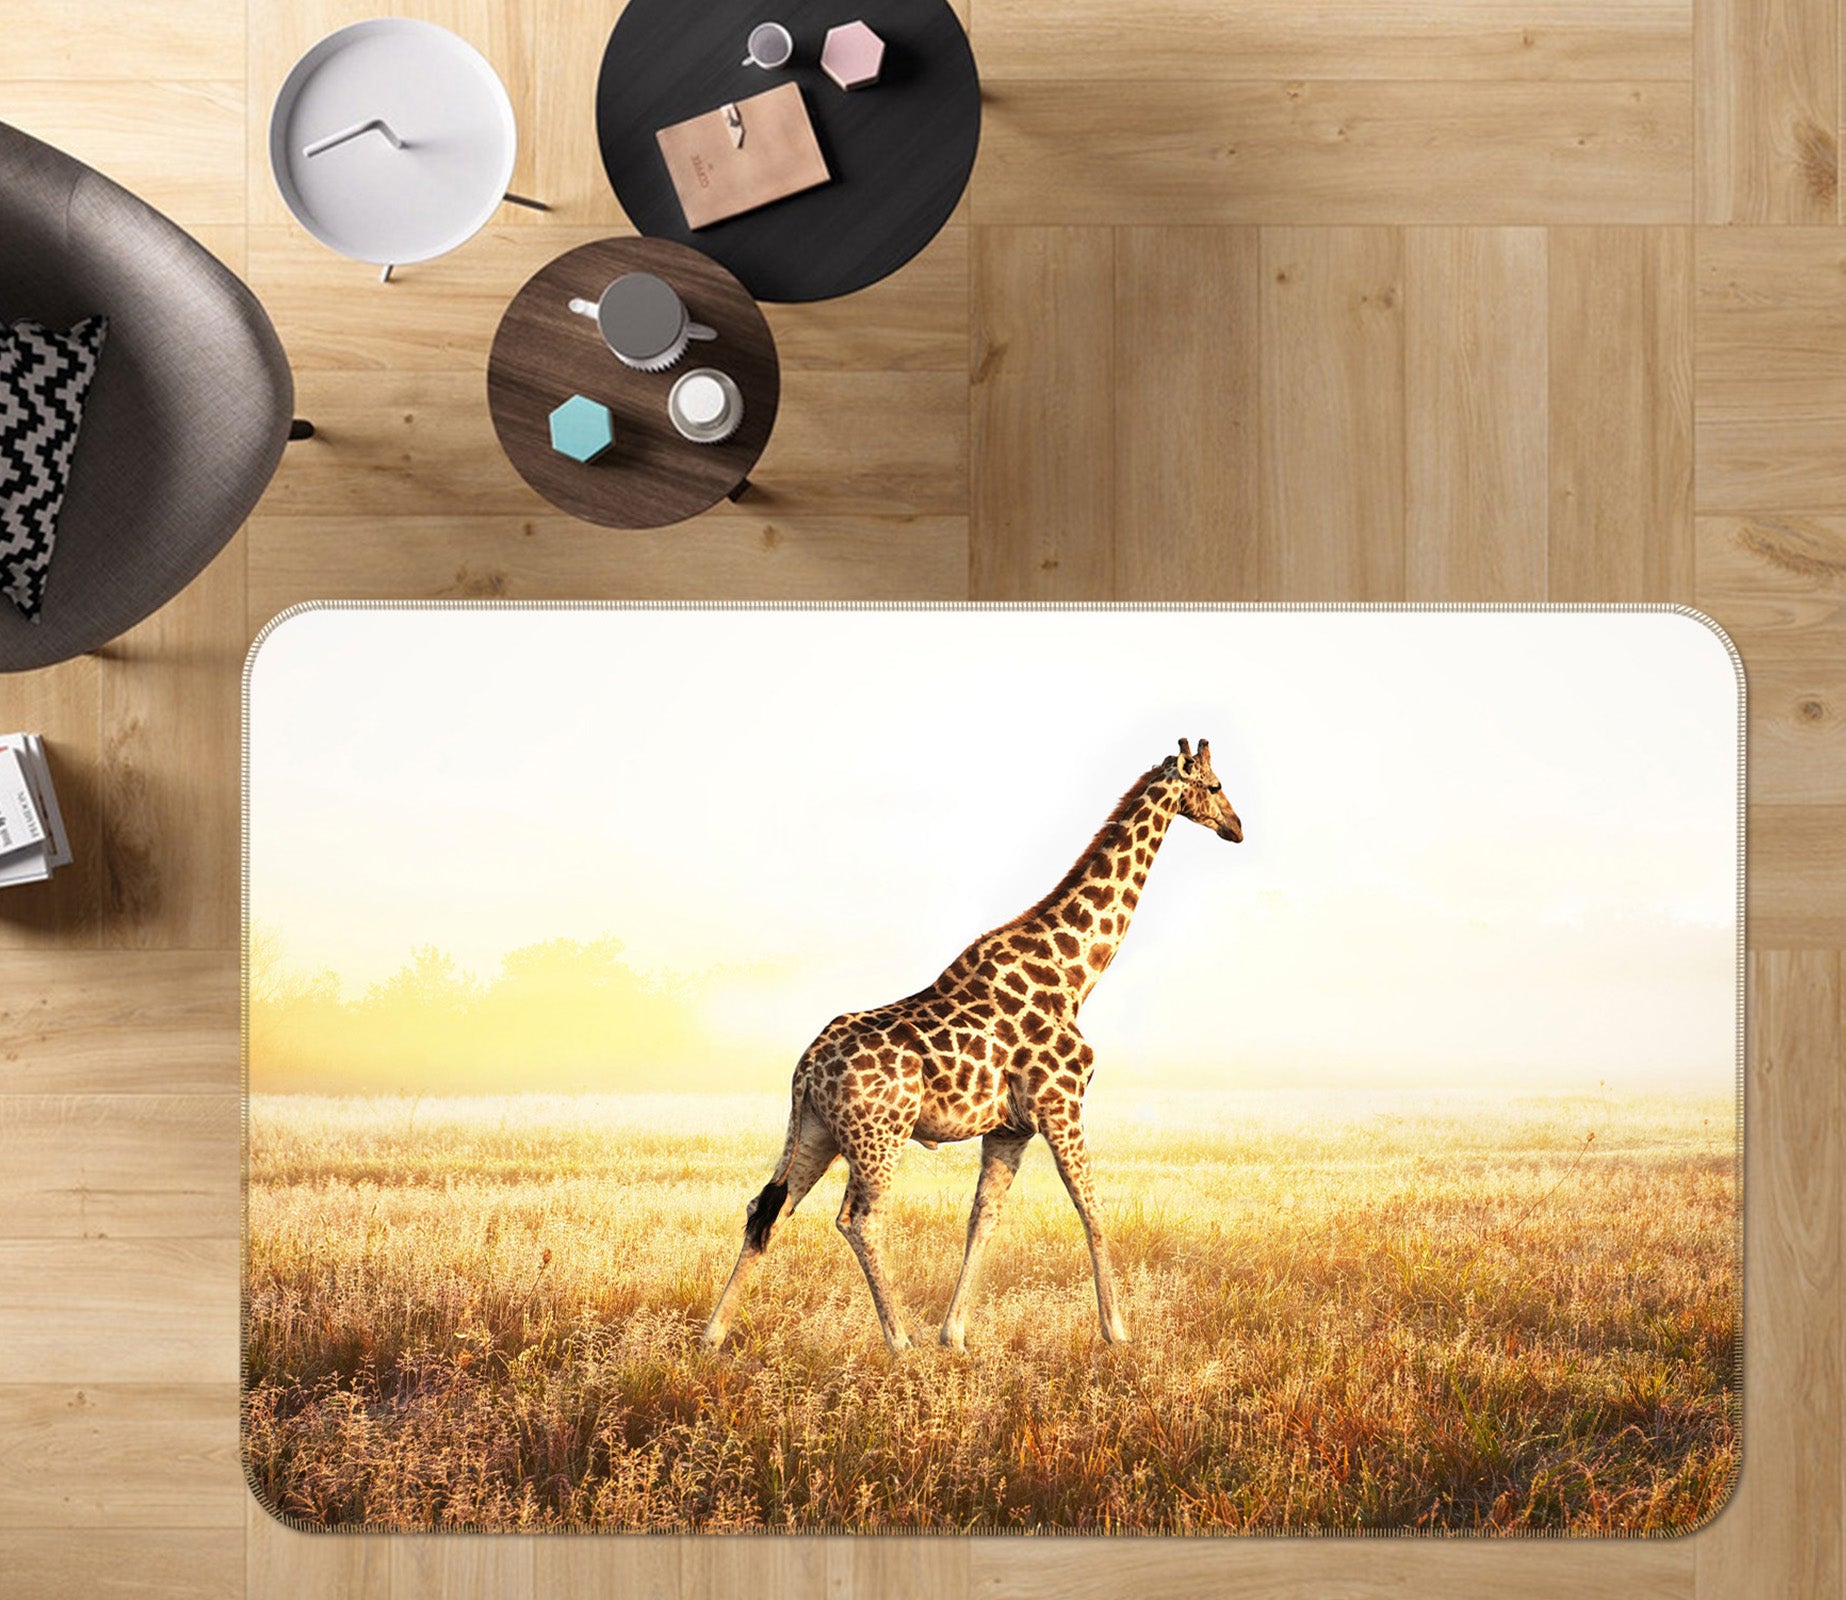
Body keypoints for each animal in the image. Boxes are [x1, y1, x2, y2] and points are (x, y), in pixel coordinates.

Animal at [700, 737, 1244, 1354]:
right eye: (1217, 785)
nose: (1237, 828)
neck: (1074, 973)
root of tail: (807, 1065)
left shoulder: (1010, 1128)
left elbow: (983, 1218)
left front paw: (955, 1334)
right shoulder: (1062, 1106)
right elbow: (1092, 1209)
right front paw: (1117, 1332)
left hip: (816, 1130)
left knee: (768, 1207)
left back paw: (713, 1335)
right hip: (878, 1134)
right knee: (858, 1218)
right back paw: (898, 1341)